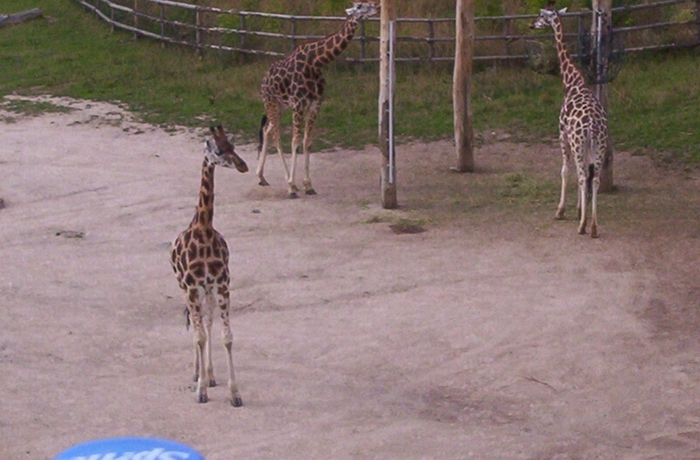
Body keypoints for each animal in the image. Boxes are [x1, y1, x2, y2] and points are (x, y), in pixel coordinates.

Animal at [170, 126, 249, 406]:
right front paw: (201, 390)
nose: (243, 165)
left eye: (232, 145)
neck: (203, 230)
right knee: (198, 326)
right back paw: (197, 375)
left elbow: (226, 336)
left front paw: (234, 393)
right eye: (217, 150)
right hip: (186, 288)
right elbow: (199, 335)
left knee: (208, 320)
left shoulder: (222, 284)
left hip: (208, 290)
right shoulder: (192, 286)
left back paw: (211, 375)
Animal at [256, 2, 378, 199]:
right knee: (276, 136)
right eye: (359, 5)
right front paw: (292, 186)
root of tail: (264, 79)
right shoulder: (298, 105)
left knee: (267, 130)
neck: (315, 62)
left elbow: (307, 142)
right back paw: (289, 184)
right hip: (270, 101)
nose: (376, 5)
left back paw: (261, 177)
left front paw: (307, 185)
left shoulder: (315, 105)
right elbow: (295, 141)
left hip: (281, 106)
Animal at [532, 0, 608, 237]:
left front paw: (562, 211)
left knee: (584, 176)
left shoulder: (562, 133)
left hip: (578, 141)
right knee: (595, 178)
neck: (572, 82)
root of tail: (592, 125)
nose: (531, 25)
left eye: (542, 16)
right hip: (599, 145)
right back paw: (593, 226)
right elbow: (581, 173)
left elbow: (565, 170)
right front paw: (578, 209)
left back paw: (583, 226)